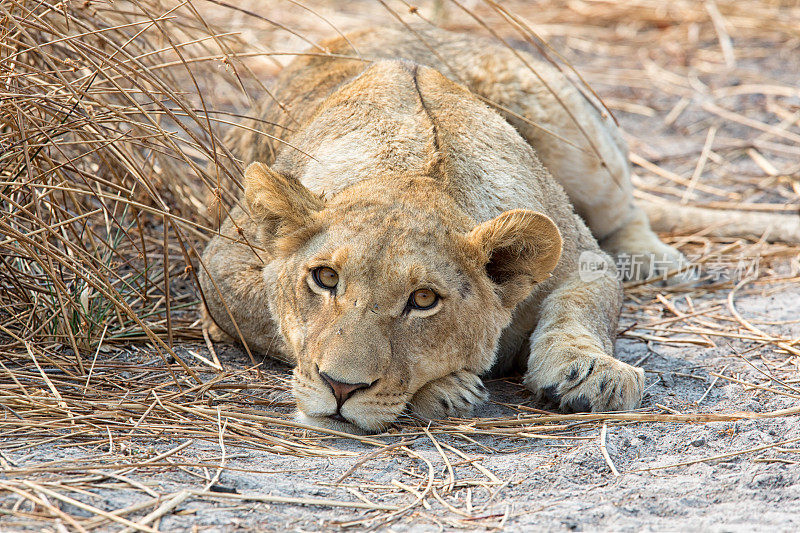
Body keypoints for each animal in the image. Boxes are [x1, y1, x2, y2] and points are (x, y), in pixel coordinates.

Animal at [198, 25, 800, 432]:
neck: (413, 170)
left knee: (625, 209)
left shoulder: (584, 257)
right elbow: (270, 319)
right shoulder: (218, 267)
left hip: (568, 125)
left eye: (423, 300)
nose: (340, 387)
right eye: (324, 278)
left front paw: (591, 373)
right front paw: (449, 388)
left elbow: (580, 309)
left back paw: (659, 261)